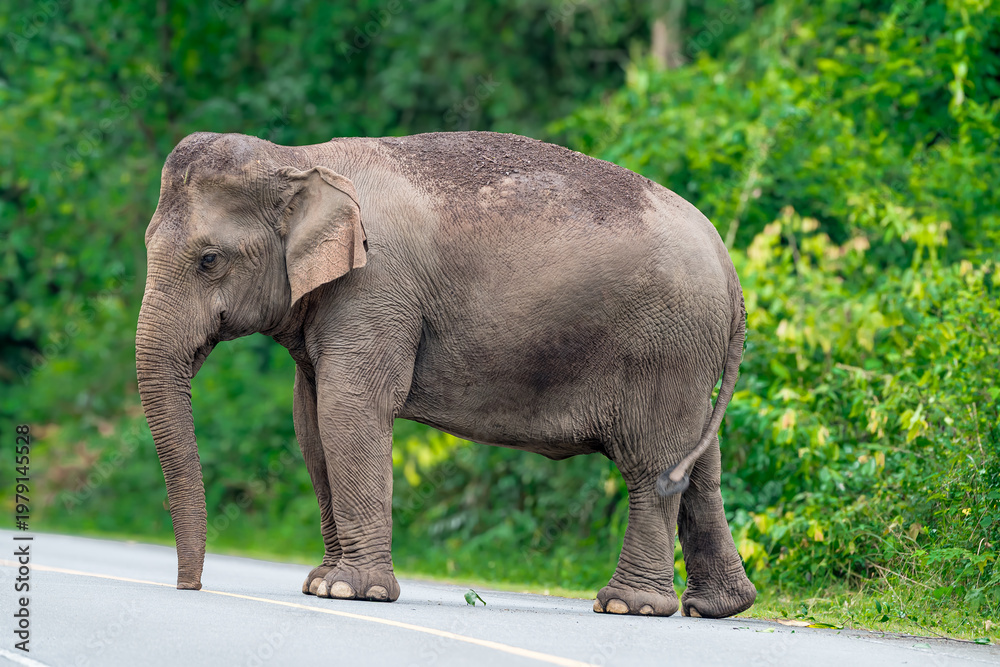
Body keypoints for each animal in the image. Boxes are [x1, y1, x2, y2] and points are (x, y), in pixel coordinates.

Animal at [136, 130, 757, 619]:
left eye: (209, 260)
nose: (190, 586)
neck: (298, 158)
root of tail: (731, 271)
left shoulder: (375, 288)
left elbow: (349, 409)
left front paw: (350, 592)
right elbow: (310, 424)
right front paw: (320, 584)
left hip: (664, 347)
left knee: (652, 465)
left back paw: (629, 605)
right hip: (687, 358)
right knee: (699, 463)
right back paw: (718, 607)